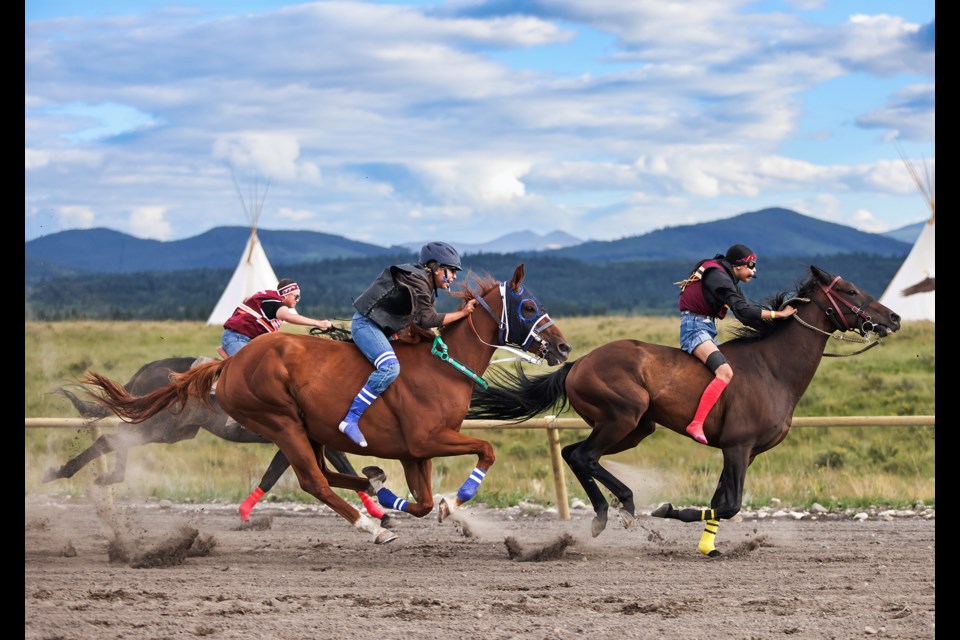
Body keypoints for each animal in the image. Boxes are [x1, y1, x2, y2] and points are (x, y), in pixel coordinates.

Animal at [82, 264, 568, 544]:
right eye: (528, 306)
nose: (562, 347)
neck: (442, 367)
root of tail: (231, 363)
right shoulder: (428, 437)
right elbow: (486, 449)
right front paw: (458, 499)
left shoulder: (415, 452)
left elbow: (424, 502)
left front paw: (400, 499)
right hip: (278, 422)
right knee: (312, 480)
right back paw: (367, 525)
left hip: (305, 428)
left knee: (322, 474)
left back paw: (374, 488)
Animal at [468, 264, 904, 556]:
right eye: (849, 290)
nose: (894, 317)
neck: (774, 368)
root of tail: (577, 363)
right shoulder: (738, 447)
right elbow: (729, 504)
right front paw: (667, 510)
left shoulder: (742, 452)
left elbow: (722, 502)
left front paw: (708, 547)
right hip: (623, 416)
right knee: (585, 456)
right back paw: (624, 504)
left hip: (636, 428)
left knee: (574, 453)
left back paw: (603, 514)